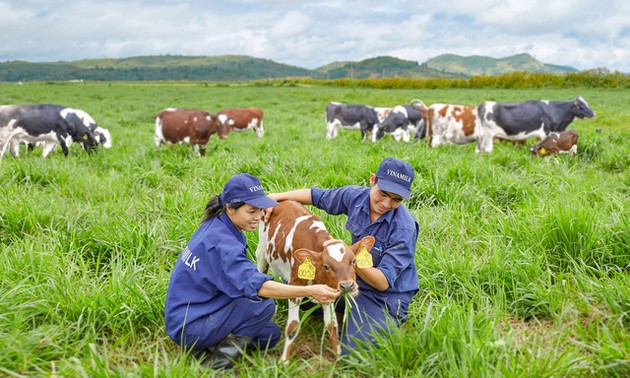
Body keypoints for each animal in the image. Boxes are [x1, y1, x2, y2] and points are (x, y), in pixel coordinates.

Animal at [256, 199, 376, 362]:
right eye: (326, 266)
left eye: (354, 261)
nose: (347, 286)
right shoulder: (295, 287)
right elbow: (293, 327)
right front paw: (284, 361)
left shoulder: (328, 291)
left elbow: (332, 325)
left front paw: (337, 356)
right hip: (261, 254)